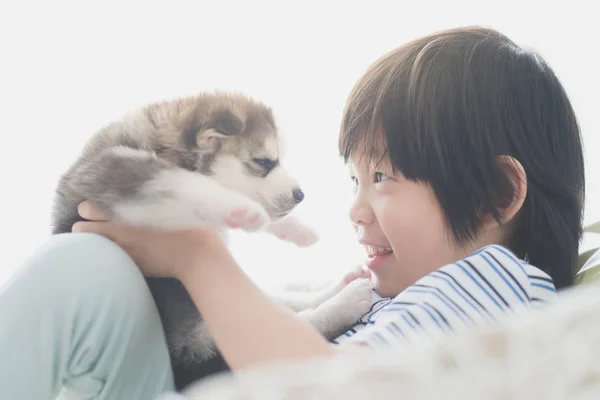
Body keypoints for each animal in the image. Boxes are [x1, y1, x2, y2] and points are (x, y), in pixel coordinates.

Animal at [50, 91, 376, 388]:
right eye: (263, 162)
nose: (300, 195)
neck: (164, 143)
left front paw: (296, 228)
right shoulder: (111, 168)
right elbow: (179, 182)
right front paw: (242, 209)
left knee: (289, 303)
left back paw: (341, 287)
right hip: (199, 339)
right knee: (301, 320)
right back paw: (345, 300)